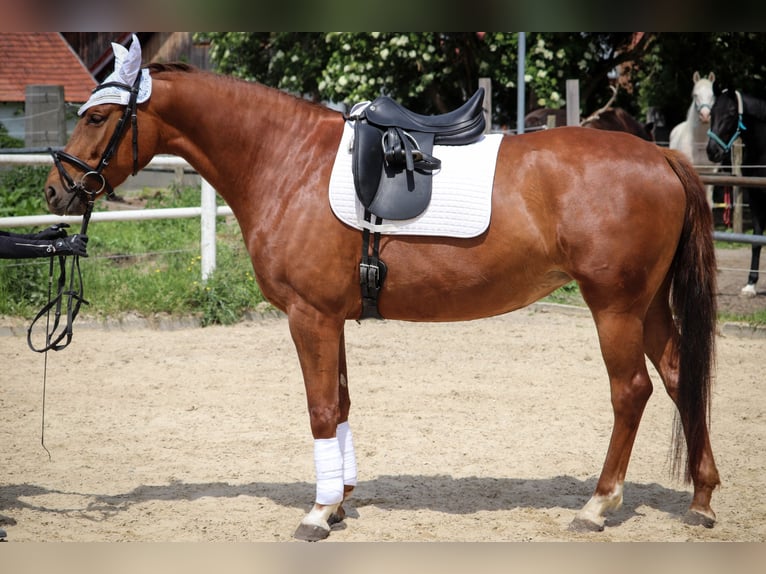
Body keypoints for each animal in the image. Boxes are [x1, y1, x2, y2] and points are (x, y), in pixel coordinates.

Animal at [45, 56, 724, 544]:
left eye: (99, 119)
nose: (55, 190)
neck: (286, 161)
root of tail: (660, 155)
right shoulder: (332, 319)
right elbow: (342, 404)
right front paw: (340, 502)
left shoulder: (309, 318)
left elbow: (321, 410)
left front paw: (317, 515)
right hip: (647, 307)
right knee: (679, 377)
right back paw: (701, 499)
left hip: (614, 308)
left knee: (631, 392)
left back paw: (597, 505)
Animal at [708, 89, 766, 296]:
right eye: (711, 112)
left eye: (732, 113)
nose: (712, 151)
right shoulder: (756, 198)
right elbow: (756, 240)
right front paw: (750, 284)